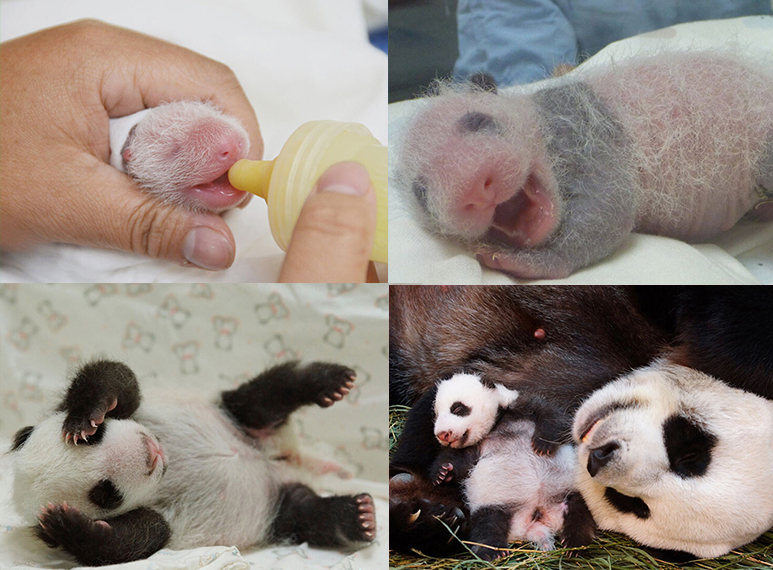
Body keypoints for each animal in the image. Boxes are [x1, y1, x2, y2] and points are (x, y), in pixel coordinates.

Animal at [9, 359, 376, 566]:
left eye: (98, 437)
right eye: (105, 493)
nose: (148, 452)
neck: (167, 467)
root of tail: (287, 461)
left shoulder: (138, 411)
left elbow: (116, 379)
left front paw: (85, 417)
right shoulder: (154, 518)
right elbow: (129, 543)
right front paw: (64, 525)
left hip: (233, 415)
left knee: (266, 395)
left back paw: (330, 382)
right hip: (276, 511)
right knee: (305, 513)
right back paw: (358, 516)